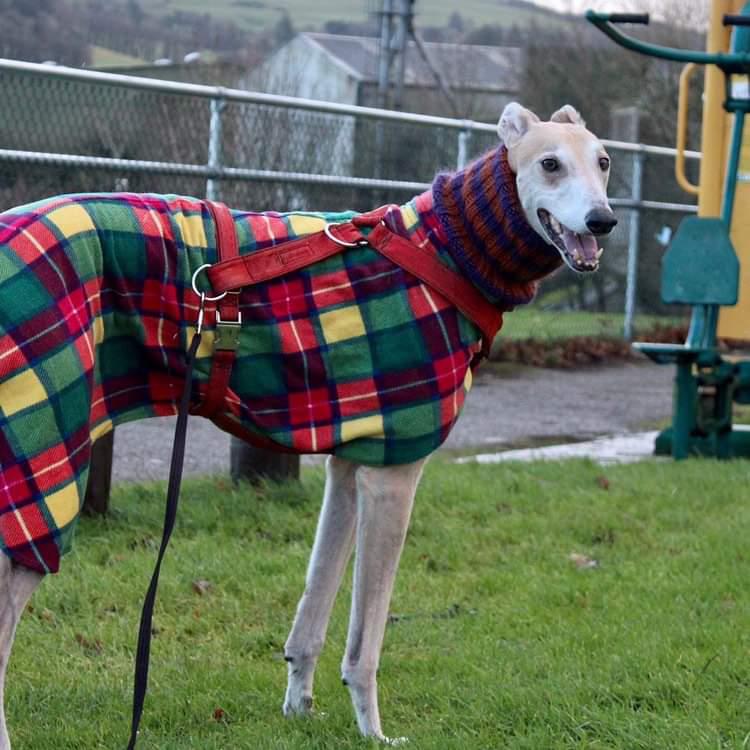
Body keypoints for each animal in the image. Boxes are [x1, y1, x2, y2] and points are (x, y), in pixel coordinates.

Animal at [0, 103, 616, 748]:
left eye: (603, 162)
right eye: (549, 164)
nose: (603, 221)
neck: (445, 250)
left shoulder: (350, 466)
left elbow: (313, 612)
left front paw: (300, 708)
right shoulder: (394, 475)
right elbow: (366, 640)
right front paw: (374, 732)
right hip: (45, 457)